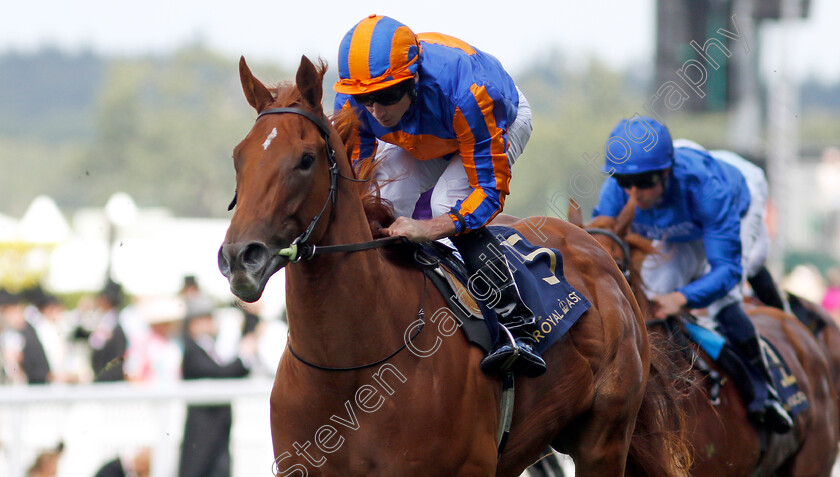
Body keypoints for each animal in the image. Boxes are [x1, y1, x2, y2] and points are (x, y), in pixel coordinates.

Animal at [220, 56, 692, 476]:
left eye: (305, 159)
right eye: (238, 157)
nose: (239, 257)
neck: (350, 373)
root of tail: (592, 248)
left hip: (603, 441)